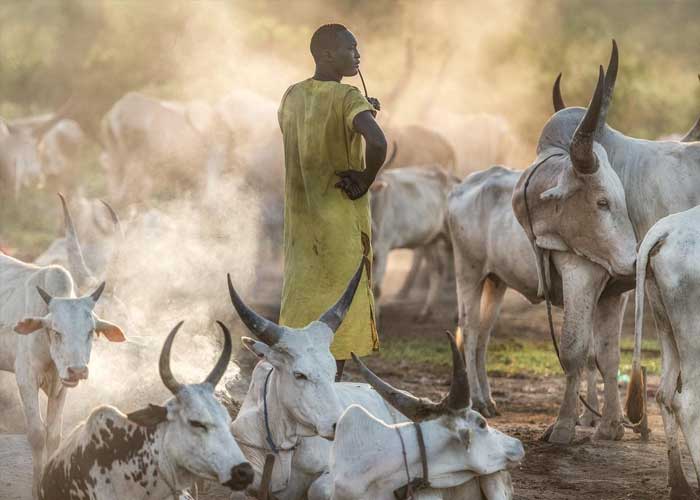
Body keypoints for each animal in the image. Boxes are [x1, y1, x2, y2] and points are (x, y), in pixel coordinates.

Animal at [0, 254, 124, 496]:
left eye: (90, 332)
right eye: (57, 331)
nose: (78, 370)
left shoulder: (61, 385)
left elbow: (54, 435)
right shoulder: (26, 379)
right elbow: (37, 434)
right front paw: (36, 490)